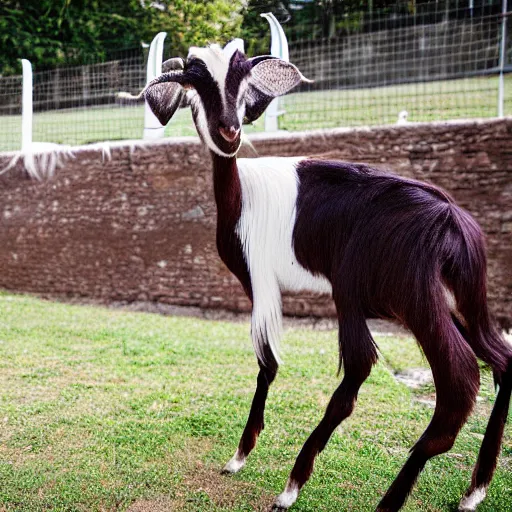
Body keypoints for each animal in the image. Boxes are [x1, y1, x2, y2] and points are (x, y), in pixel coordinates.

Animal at [134, 44, 510, 512]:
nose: (230, 131)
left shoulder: (260, 281)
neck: (241, 195)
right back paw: (474, 491)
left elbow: (268, 364)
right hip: (460, 301)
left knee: (430, 377)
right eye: (196, 81)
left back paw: (309, 489)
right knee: (502, 360)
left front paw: (239, 456)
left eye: (242, 79)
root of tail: (451, 222)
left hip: (387, 297)